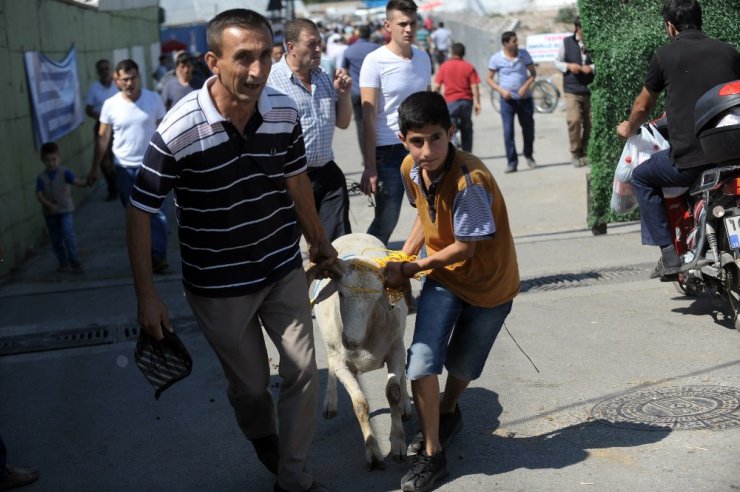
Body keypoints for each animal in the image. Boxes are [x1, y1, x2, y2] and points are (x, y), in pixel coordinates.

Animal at [306, 233, 410, 470]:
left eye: (377, 297)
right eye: (341, 293)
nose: (350, 341)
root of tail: (353, 234)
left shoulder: (395, 350)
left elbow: (393, 392)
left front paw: (398, 443)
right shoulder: (342, 362)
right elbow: (360, 405)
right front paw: (373, 453)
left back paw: (406, 406)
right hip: (330, 344)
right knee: (330, 362)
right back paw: (330, 403)